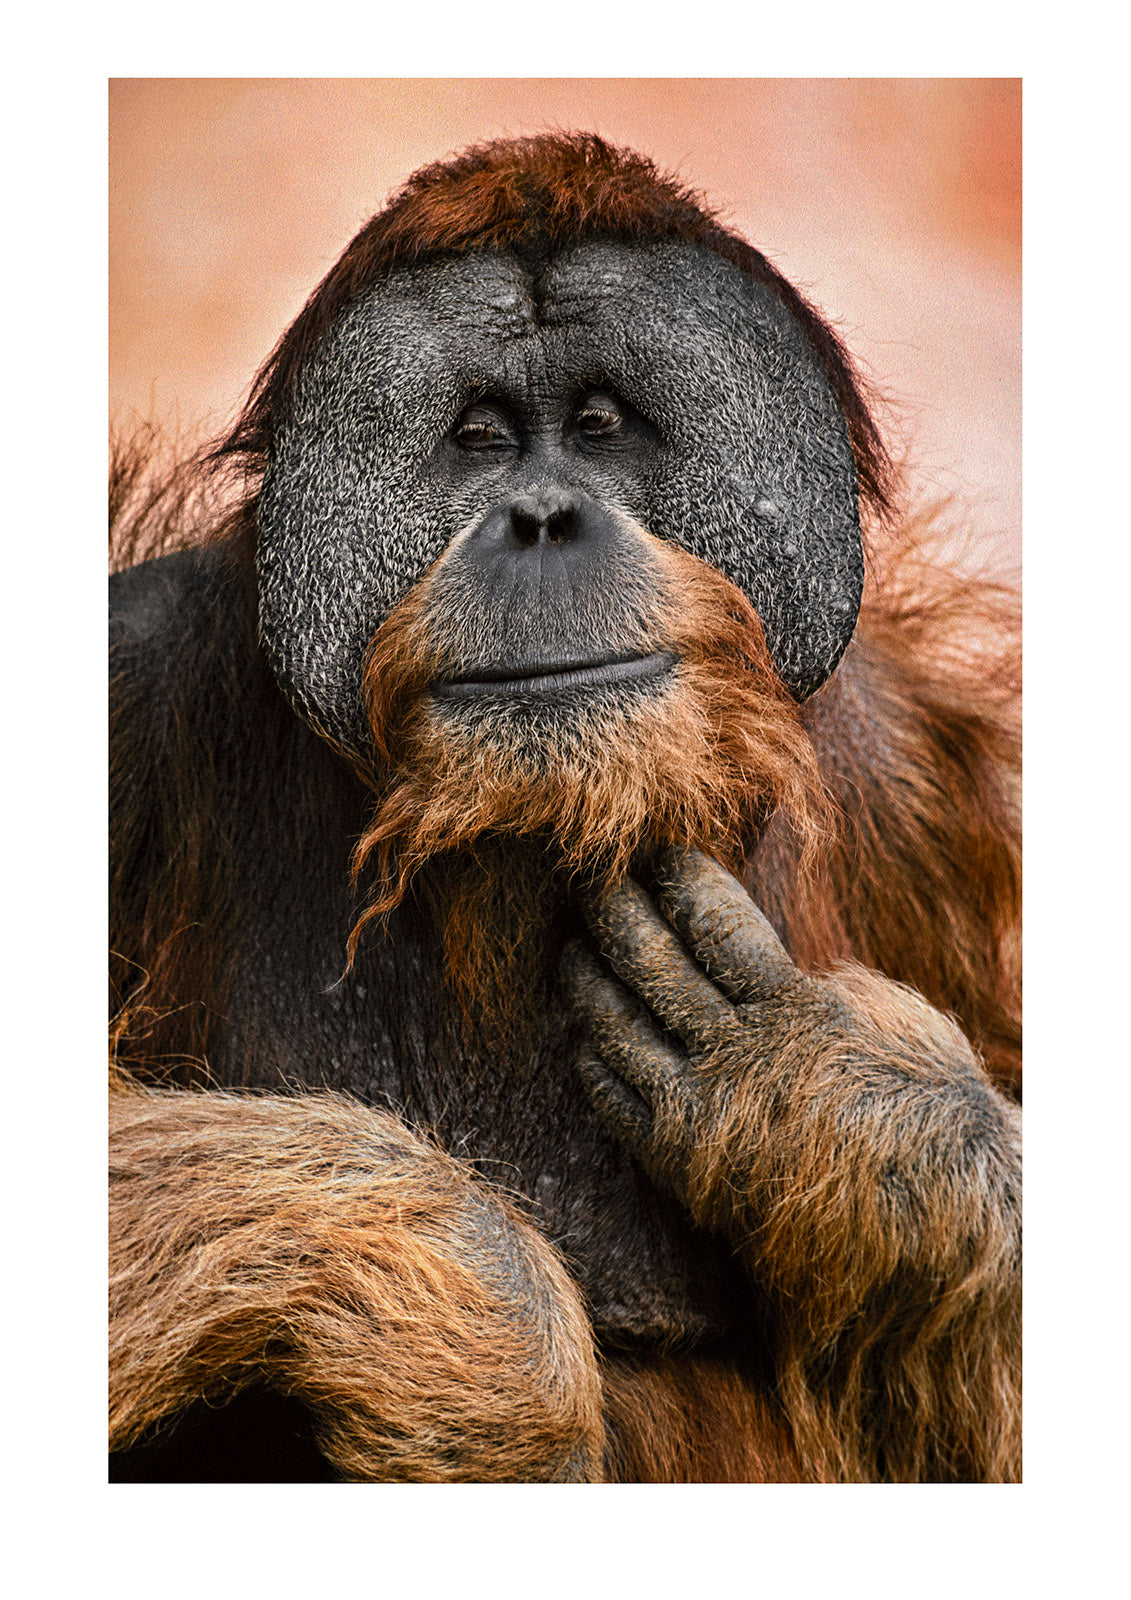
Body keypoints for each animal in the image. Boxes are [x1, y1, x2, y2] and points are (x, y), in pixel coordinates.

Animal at [109, 133, 1021, 1483]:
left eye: (598, 426)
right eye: (483, 437)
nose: (542, 518)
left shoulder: (947, 796)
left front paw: (838, 1100)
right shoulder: (128, 682)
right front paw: (484, 1333)